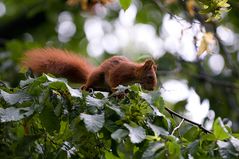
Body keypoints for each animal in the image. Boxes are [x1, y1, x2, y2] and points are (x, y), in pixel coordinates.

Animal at [22, 47, 157, 91]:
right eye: (150, 77)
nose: (152, 89)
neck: (134, 74)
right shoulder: (120, 73)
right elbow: (114, 81)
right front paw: (119, 93)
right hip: (97, 76)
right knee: (91, 81)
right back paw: (86, 86)